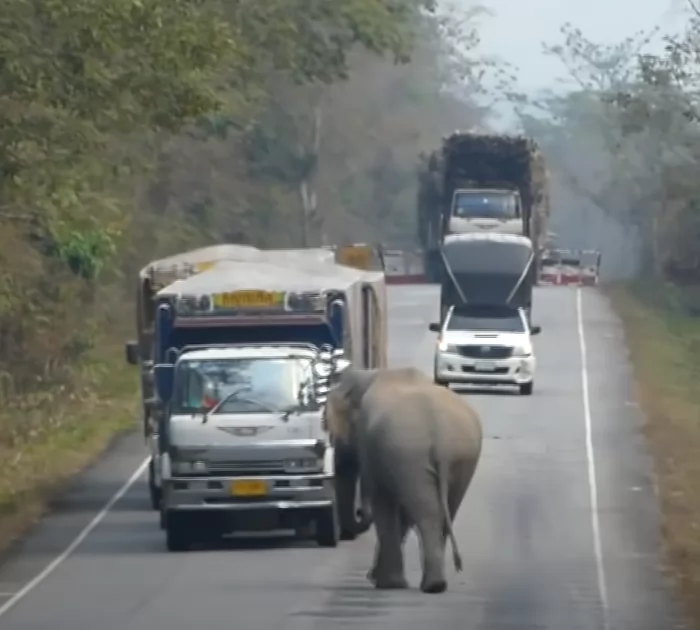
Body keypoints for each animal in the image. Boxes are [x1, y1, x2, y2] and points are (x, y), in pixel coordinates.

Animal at [324, 368, 482, 596]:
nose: (360, 512)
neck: (370, 375)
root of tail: (441, 434)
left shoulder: (373, 445)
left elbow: (384, 503)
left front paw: (386, 583)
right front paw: (380, 579)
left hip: (408, 451)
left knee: (426, 514)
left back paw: (430, 586)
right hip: (460, 456)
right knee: (446, 511)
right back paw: (436, 584)